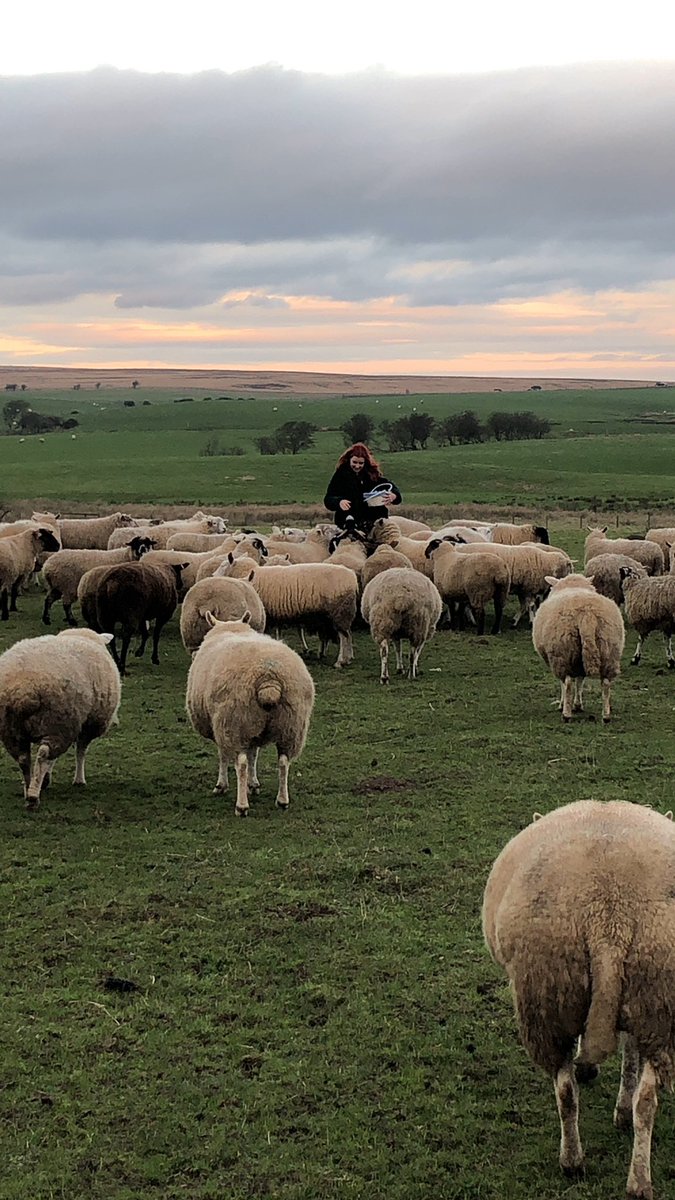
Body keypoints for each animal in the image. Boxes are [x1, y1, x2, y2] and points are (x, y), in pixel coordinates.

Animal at [0, 628, 121, 809]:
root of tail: (22, 689)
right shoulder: (88, 724)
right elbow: (81, 752)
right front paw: (79, 780)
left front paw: (45, 780)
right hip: (58, 722)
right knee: (44, 755)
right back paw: (33, 797)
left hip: (12, 729)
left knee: (23, 759)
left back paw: (29, 789)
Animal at [186, 615, 315, 815]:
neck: (232, 628)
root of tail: (269, 680)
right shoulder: (253, 732)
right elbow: (254, 754)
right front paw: (253, 785)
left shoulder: (221, 725)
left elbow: (224, 755)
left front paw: (221, 785)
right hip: (291, 724)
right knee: (283, 761)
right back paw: (282, 800)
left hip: (235, 722)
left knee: (241, 763)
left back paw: (241, 806)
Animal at [482, 799, 675, 1200]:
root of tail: (608, 914)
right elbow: (630, 1056)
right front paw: (620, 1110)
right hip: (657, 998)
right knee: (647, 1102)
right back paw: (639, 1181)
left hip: (547, 996)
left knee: (565, 1090)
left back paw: (572, 1161)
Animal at [531, 573, 625, 721]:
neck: (574, 586)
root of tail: (587, 613)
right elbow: (580, 680)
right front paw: (577, 704)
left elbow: (565, 683)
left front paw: (564, 704)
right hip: (609, 650)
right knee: (605, 683)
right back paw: (606, 715)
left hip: (562, 651)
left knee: (568, 682)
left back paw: (566, 714)